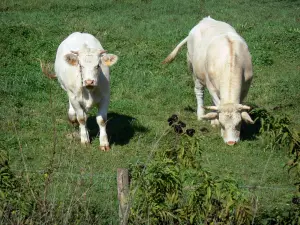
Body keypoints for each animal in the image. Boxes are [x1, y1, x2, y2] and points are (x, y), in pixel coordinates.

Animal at [164, 16, 253, 145]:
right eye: (222, 124)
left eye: (238, 124)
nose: (231, 143)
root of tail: (206, 19)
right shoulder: (211, 87)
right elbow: (216, 102)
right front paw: (214, 121)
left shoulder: (246, 87)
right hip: (194, 70)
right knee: (199, 92)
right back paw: (200, 114)